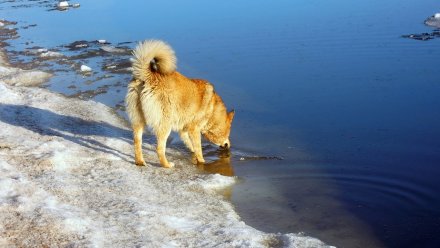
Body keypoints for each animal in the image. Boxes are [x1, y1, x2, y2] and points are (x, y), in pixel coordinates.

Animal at [124, 40, 234, 169]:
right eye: (228, 132)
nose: (228, 146)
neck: (212, 110)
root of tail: (148, 75)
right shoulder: (194, 129)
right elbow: (198, 148)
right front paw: (202, 161)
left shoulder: (184, 129)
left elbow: (190, 144)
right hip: (165, 124)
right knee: (159, 148)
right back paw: (167, 165)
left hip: (138, 120)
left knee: (137, 142)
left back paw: (140, 162)